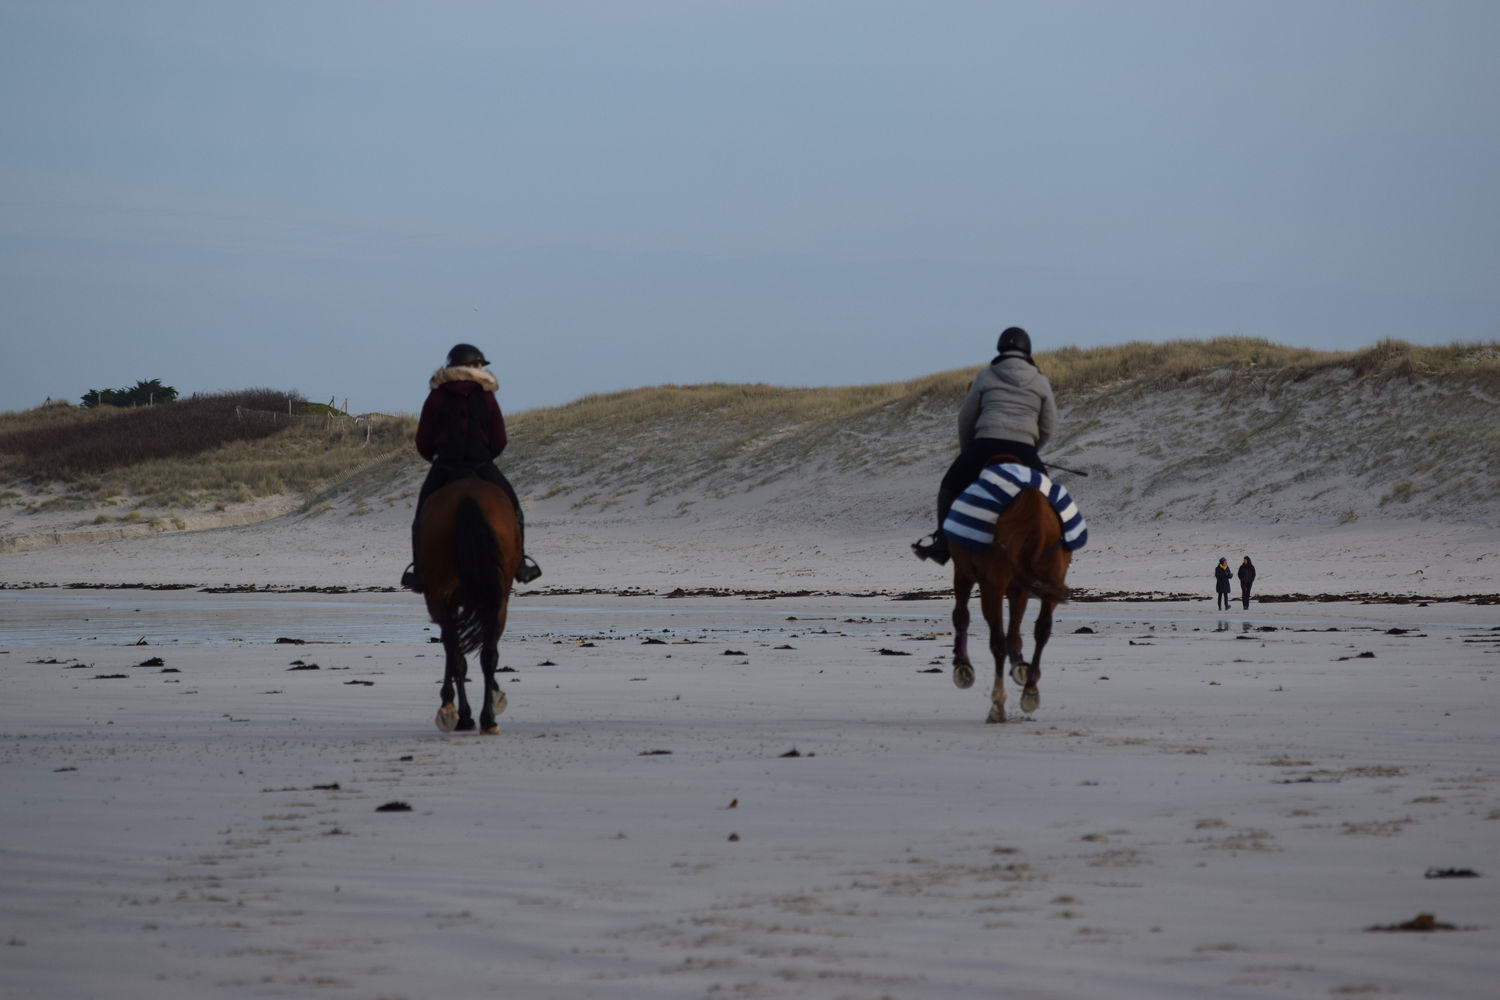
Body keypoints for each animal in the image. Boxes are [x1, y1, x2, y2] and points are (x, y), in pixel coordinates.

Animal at [417, 476, 522, 734]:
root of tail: (467, 494)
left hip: (440, 598)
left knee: (456, 650)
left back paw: (456, 712)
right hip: (498, 599)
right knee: (487, 654)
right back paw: (487, 718)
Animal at [948, 488, 1068, 722]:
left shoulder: (964, 572)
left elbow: (961, 615)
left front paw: (962, 665)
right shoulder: (1019, 588)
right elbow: (1015, 634)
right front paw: (1021, 668)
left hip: (991, 584)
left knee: (997, 641)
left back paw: (997, 704)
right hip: (1051, 578)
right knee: (1042, 630)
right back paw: (1030, 690)